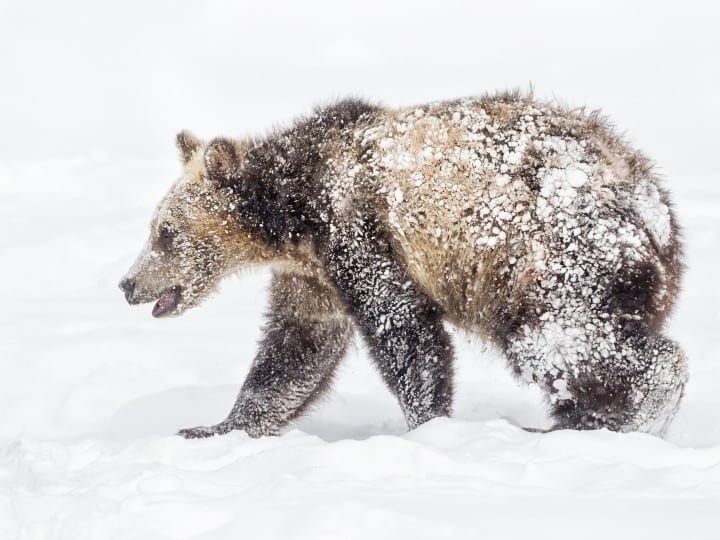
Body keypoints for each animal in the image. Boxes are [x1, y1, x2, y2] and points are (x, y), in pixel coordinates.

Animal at [118, 92, 688, 438]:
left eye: (165, 232)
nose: (127, 283)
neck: (292, 213)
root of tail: (657, 211)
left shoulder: (355, 228)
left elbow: (404, 331)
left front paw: (426, 424)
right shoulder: (311, 276)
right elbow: (295, 352)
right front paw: (215, 427)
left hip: (554, 257)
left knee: (563, 341)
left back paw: (640, 411)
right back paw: (581, 422)